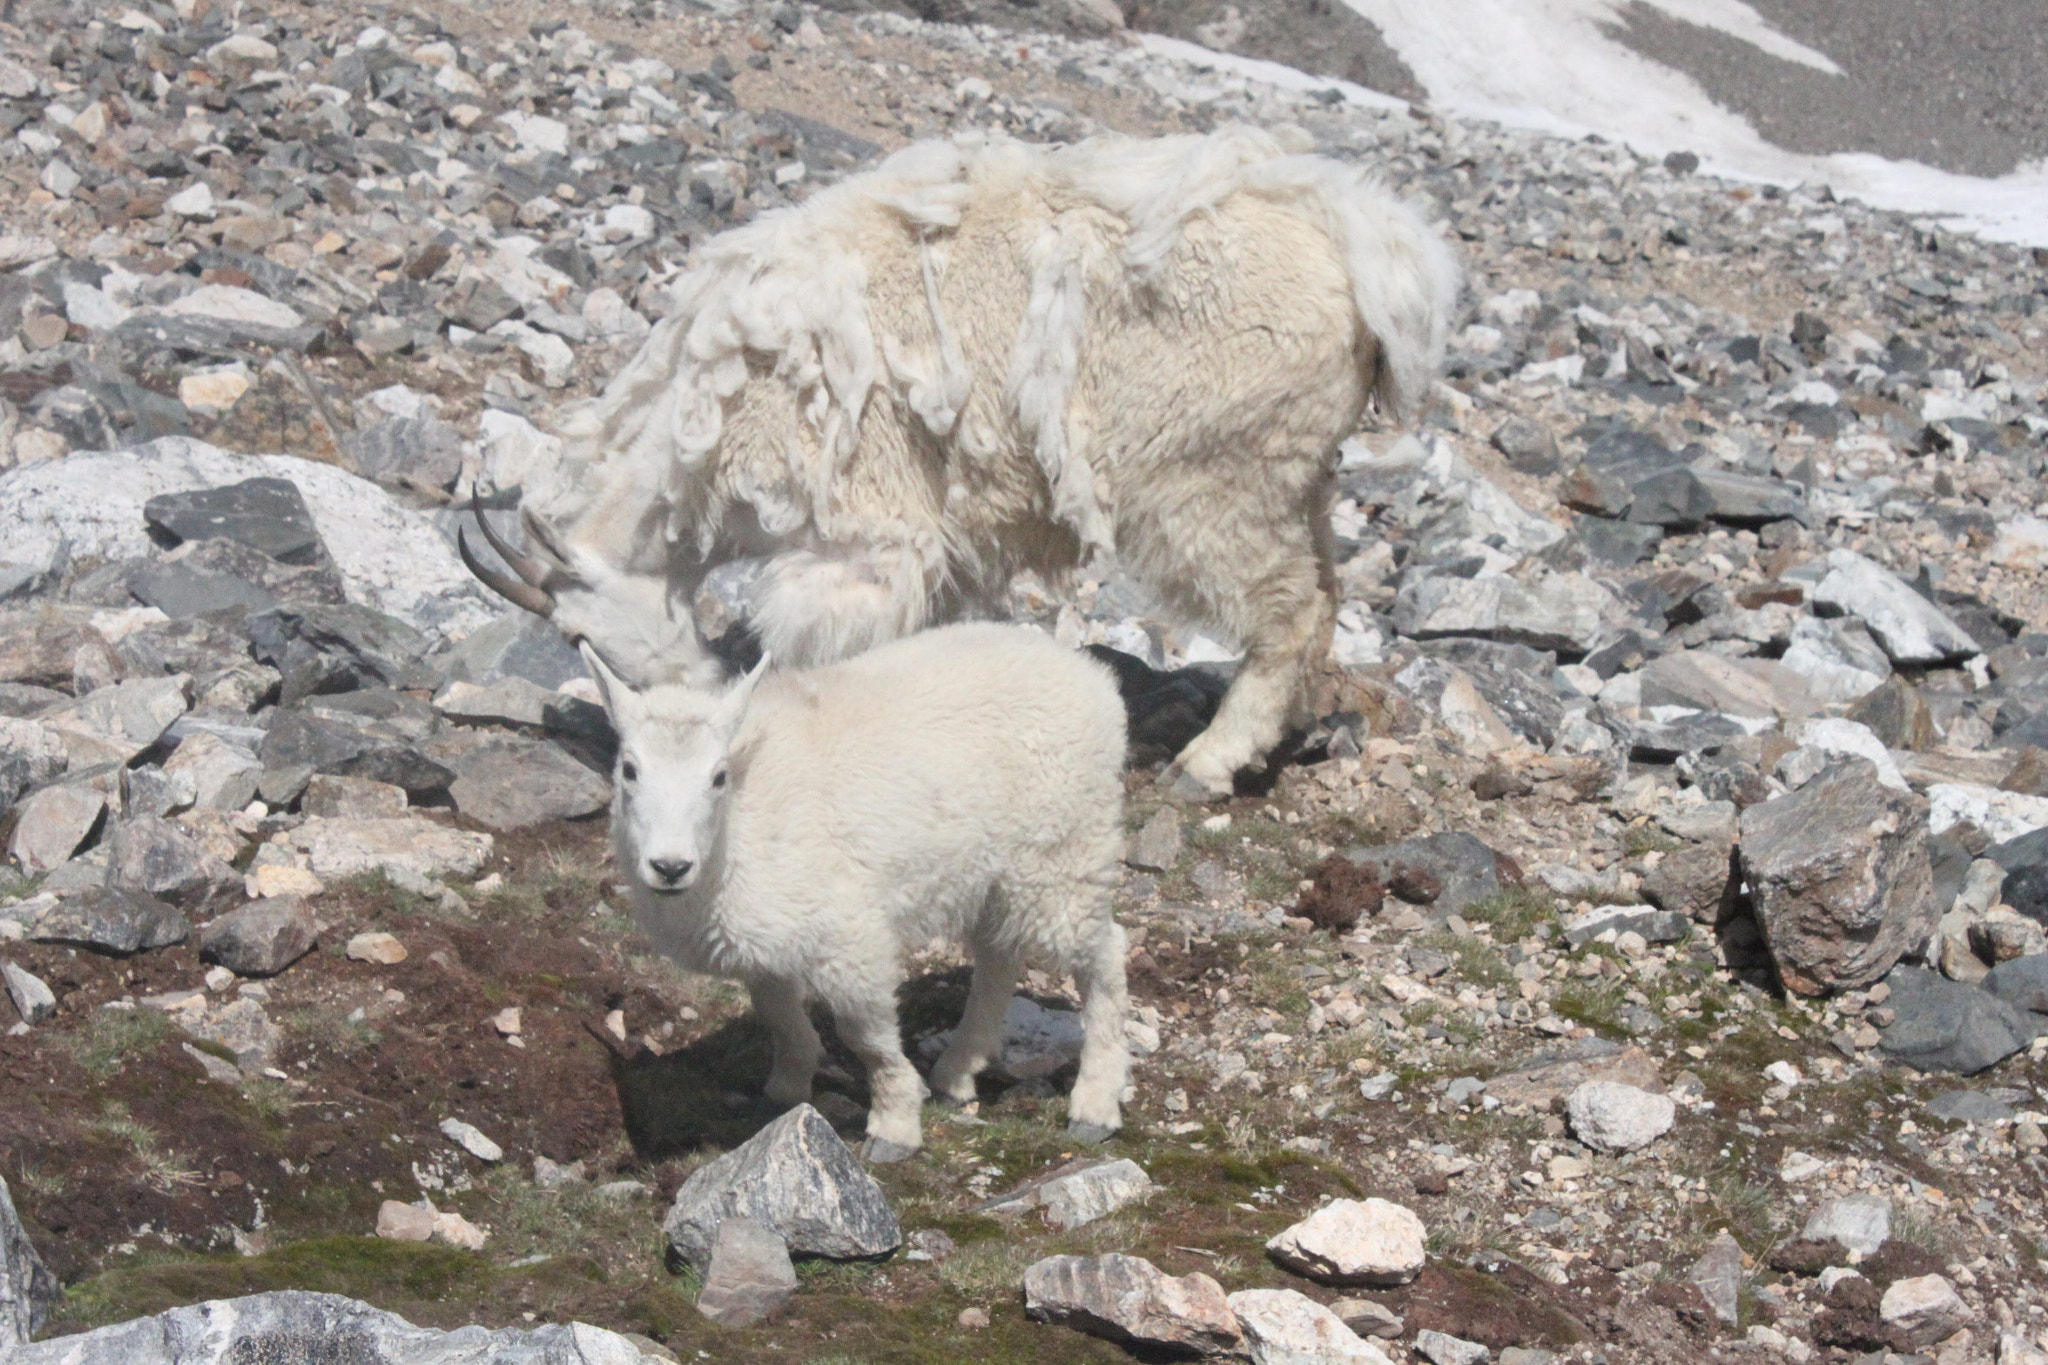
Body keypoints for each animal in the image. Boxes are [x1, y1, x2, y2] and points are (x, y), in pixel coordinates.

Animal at [462, 125, 1460, 795]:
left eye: (582, 639)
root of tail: (1367, 260)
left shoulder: (867, 531)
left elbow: (826, 641)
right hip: (1296, 472)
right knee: (1323, 596)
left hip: (1215, 473)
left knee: (1288, 610)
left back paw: (1209, 760)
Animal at [582, 621, 1130, 1159]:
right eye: (629, 770)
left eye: (718, 777)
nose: (670, 867)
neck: (738, 829)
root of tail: (1094, 678)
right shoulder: (764, 942)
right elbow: (778, 1015)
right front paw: (785, 1090)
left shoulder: (847, 933)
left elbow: (866, 1036)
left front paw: (895, 1125)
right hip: (997, 872)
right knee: (999, 956)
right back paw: (958, 1070)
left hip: (1063, 850)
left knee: (1104, 955)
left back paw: (1094, 1102)